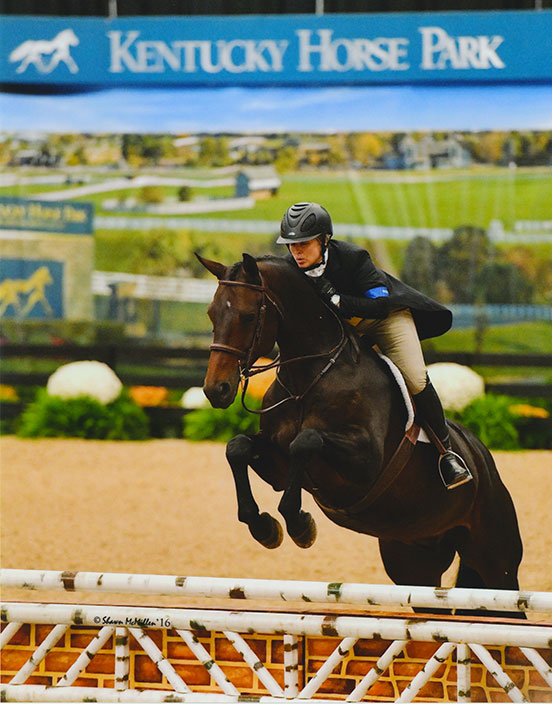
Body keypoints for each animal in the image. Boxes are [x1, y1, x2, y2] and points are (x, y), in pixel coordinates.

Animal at [197, 252, 520, 612]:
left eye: (248, 315)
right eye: (212, 313)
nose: (216, 390)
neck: (309, 379)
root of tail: (481, 457)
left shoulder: (365, 465)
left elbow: (305, 441)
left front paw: (300, 525)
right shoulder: (277, 466)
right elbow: (237, 447)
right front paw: (264, 527)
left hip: (497, 562)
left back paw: (454, 468)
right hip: (414, 564)